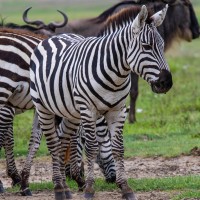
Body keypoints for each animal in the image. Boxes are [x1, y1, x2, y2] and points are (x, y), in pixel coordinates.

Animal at [30, 4, 173, 200]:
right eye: (146, 46)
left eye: (162, 46)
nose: (167, 83)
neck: (115, 74)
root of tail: (54, 37)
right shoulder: (89, 110)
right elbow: (91, 148)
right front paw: (89, 188)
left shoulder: (118, 110)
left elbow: (118, 148)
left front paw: (125, 188)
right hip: (43, 107)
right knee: (53, 144)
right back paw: (58, 188)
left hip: (70, 112)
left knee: (62, 141)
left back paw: (65, 189)